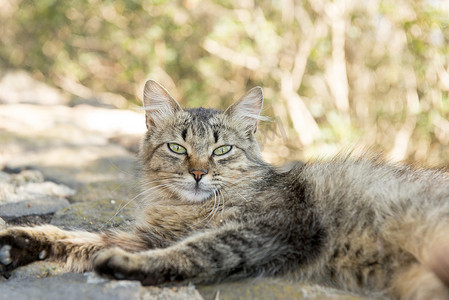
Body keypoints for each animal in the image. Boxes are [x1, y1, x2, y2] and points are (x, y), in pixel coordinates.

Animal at [0, 80, 448, 300]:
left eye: (222, 150)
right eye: (177, 148)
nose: (198, 174)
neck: (190, 211)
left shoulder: (276, 227)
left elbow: (196, 250)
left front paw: (125, 266)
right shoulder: (147, 234)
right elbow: (77, 239)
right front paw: (17, 243)